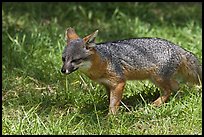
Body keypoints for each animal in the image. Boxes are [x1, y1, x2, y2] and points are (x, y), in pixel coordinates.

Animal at [60, 27, 201, 114]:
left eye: (75, 60)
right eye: (63, 59)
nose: (63, 70)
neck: (102, 61)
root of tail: (176, 46)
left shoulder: (119, 82)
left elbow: (113, 103)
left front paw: (110, 118)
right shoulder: (107, 85)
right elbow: (112, 100)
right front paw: (121, 108)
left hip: (157, 78)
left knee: (169, 90)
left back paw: (154, 104)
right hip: (161, 78)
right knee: (176, 87)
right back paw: (176, 99)